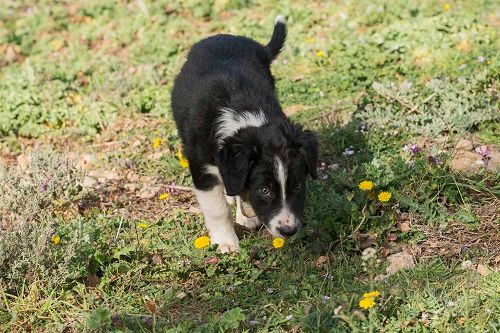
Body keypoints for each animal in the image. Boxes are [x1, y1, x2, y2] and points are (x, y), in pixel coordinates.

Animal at [172, 15, 318, 252]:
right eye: (264, 190)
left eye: (297, 185)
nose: (288, 230)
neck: (243, 115)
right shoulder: (201, 165)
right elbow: (216, 208)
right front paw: (226, 243)